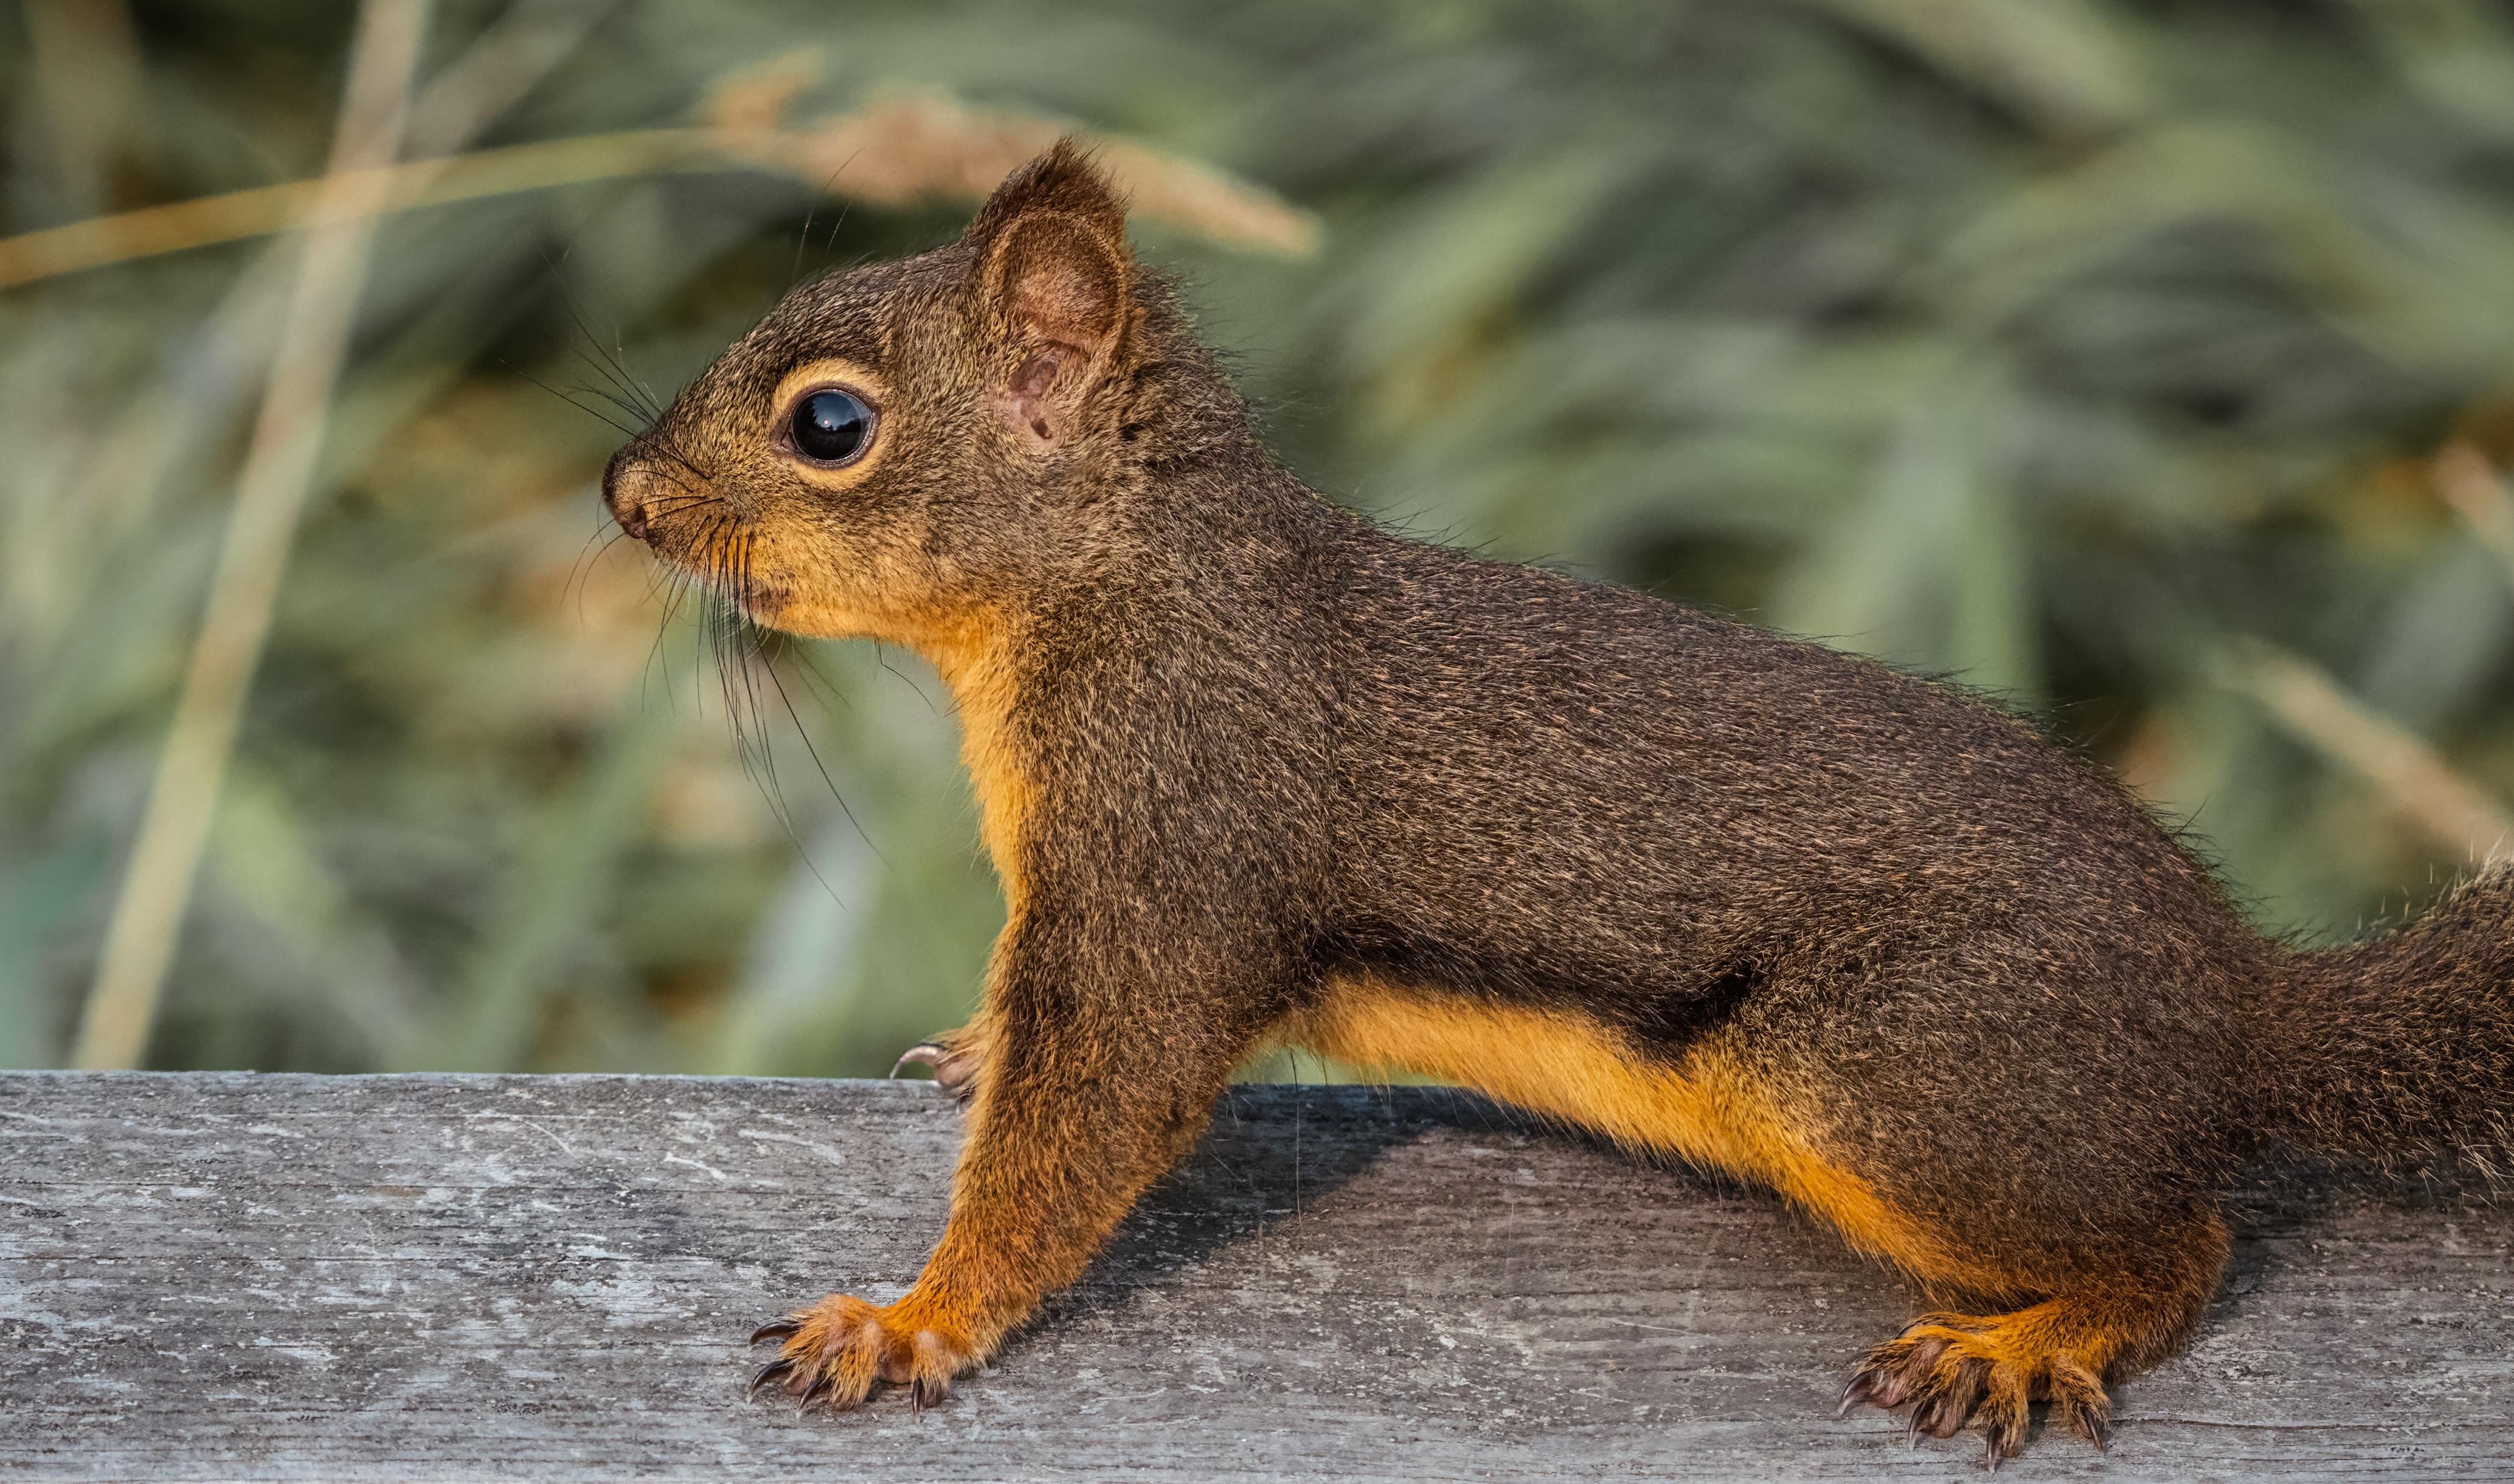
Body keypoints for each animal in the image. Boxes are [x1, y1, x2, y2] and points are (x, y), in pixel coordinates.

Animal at [603, 145, 2514, 1469]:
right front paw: (968, 1054)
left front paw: (910, 1319)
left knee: (2182, 1235)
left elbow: (1089, 1114)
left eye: (829, 425)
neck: (1118, 590)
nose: (619, 495)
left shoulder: (1177, 835)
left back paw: (2030, 1338)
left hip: (1900, 1064)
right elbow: (1032, 1044)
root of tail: (2238, 999)